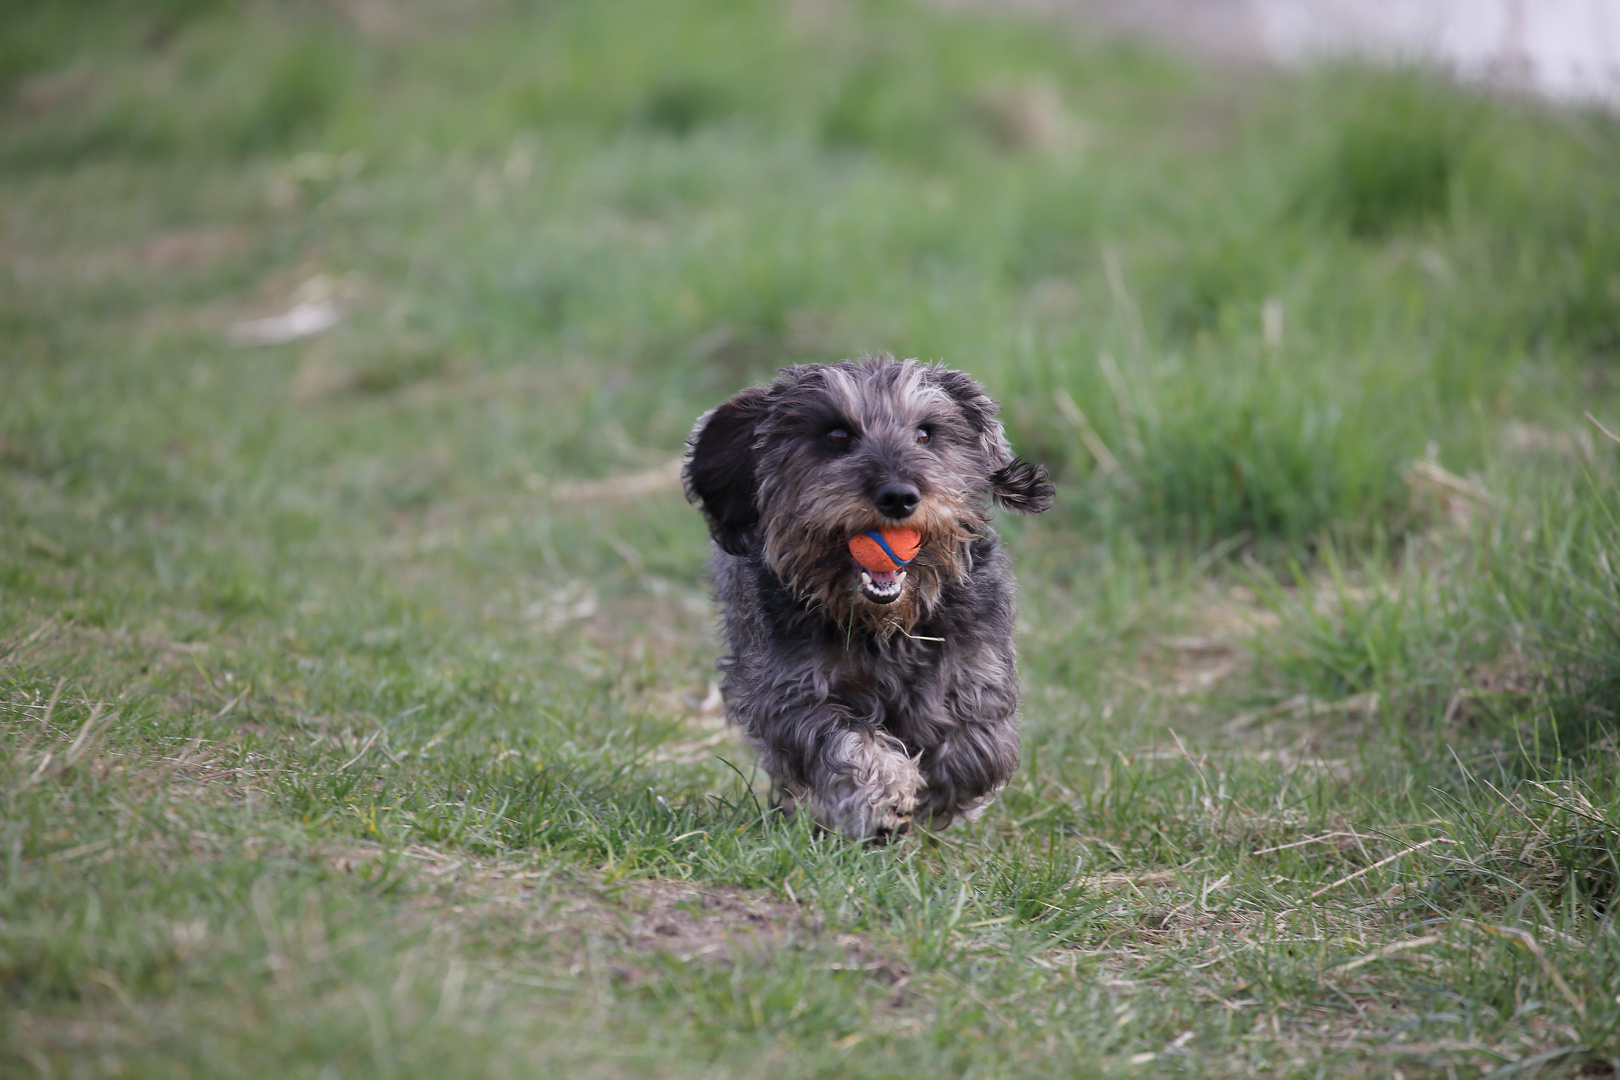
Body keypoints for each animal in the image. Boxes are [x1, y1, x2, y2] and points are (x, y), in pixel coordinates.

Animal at [680, 359, 1049, 841]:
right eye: (836, 434)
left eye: (926, 433)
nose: (899, 497)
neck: (885, 626)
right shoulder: (789, 691)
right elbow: (843, 743)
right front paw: (884, 795)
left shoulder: (977, 670)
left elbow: (979, 748)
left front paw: (939, 794)